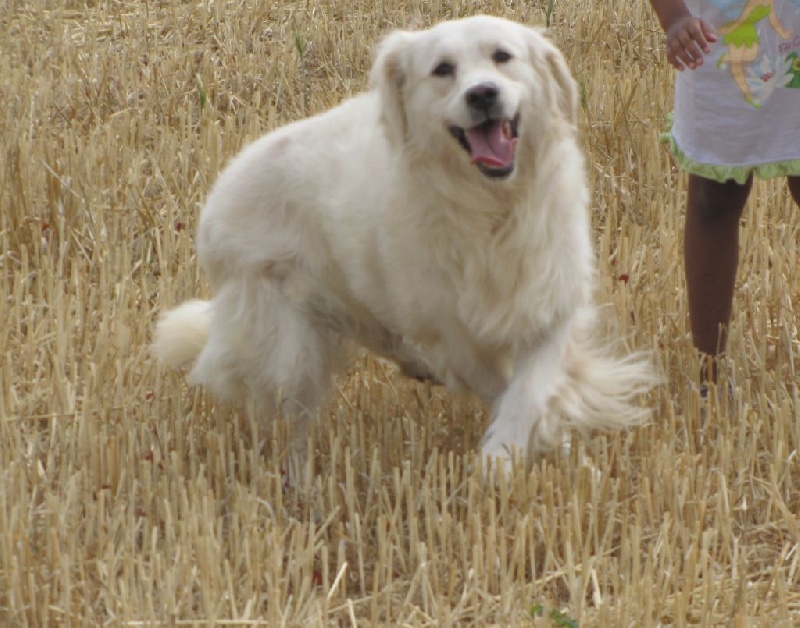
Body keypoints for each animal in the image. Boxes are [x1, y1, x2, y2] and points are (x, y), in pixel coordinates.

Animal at [152, 15, 656, 472]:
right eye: (442, 69)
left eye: (502, 56)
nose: (482, 94)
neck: (491, 209)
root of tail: (214, 205)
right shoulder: (453, 332)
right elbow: (505, 391)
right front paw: (505, 458)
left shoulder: (549, 302)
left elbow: (531, 389)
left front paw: (543, 451)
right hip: (289, 348)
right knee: (292, 421)